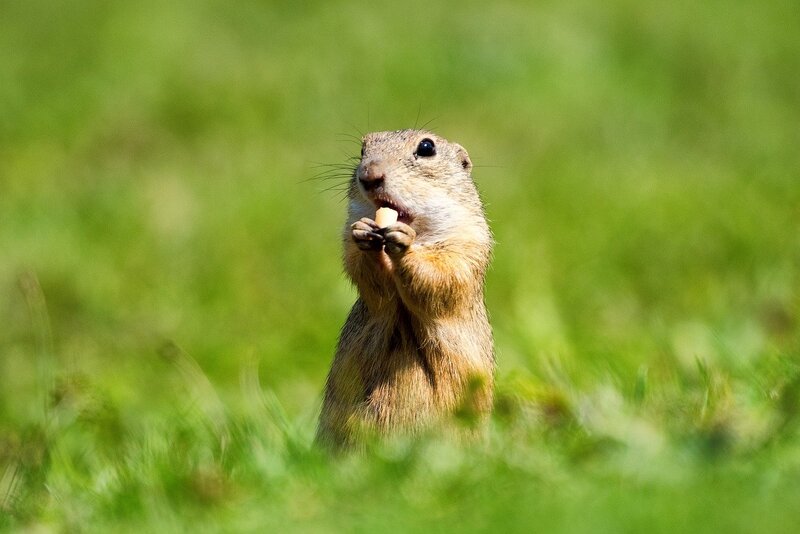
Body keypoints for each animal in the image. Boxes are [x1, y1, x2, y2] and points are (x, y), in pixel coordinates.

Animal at [316, 129, 494, 450]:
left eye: (426, 147)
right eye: (362, 149)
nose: (369, 175)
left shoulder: (466, 244)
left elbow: (442, 276)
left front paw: (404, 245)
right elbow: (367, 276)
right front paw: (363, 232)